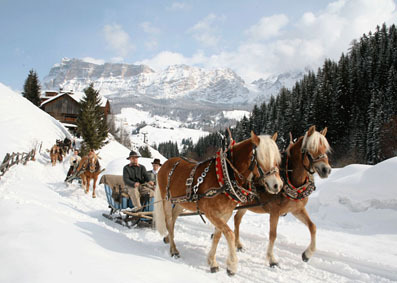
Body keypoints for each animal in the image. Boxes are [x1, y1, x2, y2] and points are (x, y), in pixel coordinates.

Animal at [153, 132, 284, 276]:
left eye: (277, 159)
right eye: (260, 158)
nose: (277, 185)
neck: (225, 177)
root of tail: (166, 164)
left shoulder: (225, 213)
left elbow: (218, 235)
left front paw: (212, 262)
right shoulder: (210, 212)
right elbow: (230, 234)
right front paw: (232, 265)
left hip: (180, 203)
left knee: (173, 220)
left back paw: (169, 241)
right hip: (166, 200)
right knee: (169, 223)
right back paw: (174, 250)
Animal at [234, 126, 330, 268]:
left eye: (325, 148)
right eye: (311, 149)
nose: (326, 170)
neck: (289, 179)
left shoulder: (297, 210)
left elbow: (313, 227)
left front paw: (307, 254)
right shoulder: (274, 212)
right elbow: (273, 235)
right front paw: (272, 259)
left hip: (245, 204)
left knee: (236, 219)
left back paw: (238, 244)